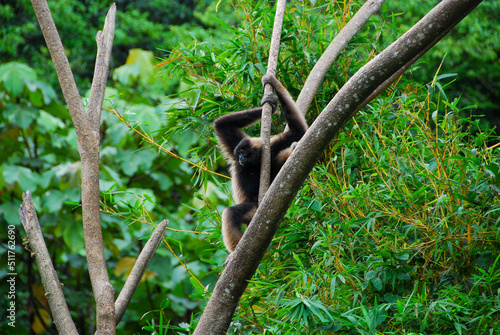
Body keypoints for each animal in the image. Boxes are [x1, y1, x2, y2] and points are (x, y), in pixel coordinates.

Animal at [213, 73, 306, 252]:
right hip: (254, 211)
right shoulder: (236, 147)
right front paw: (271, 101)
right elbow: (221, 124)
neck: (254, 163)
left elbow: (298, 132)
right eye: (240, 154)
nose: (241, 158)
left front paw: (273, 85)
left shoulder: (271, 148)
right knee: (232, 213)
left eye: (246, 154)